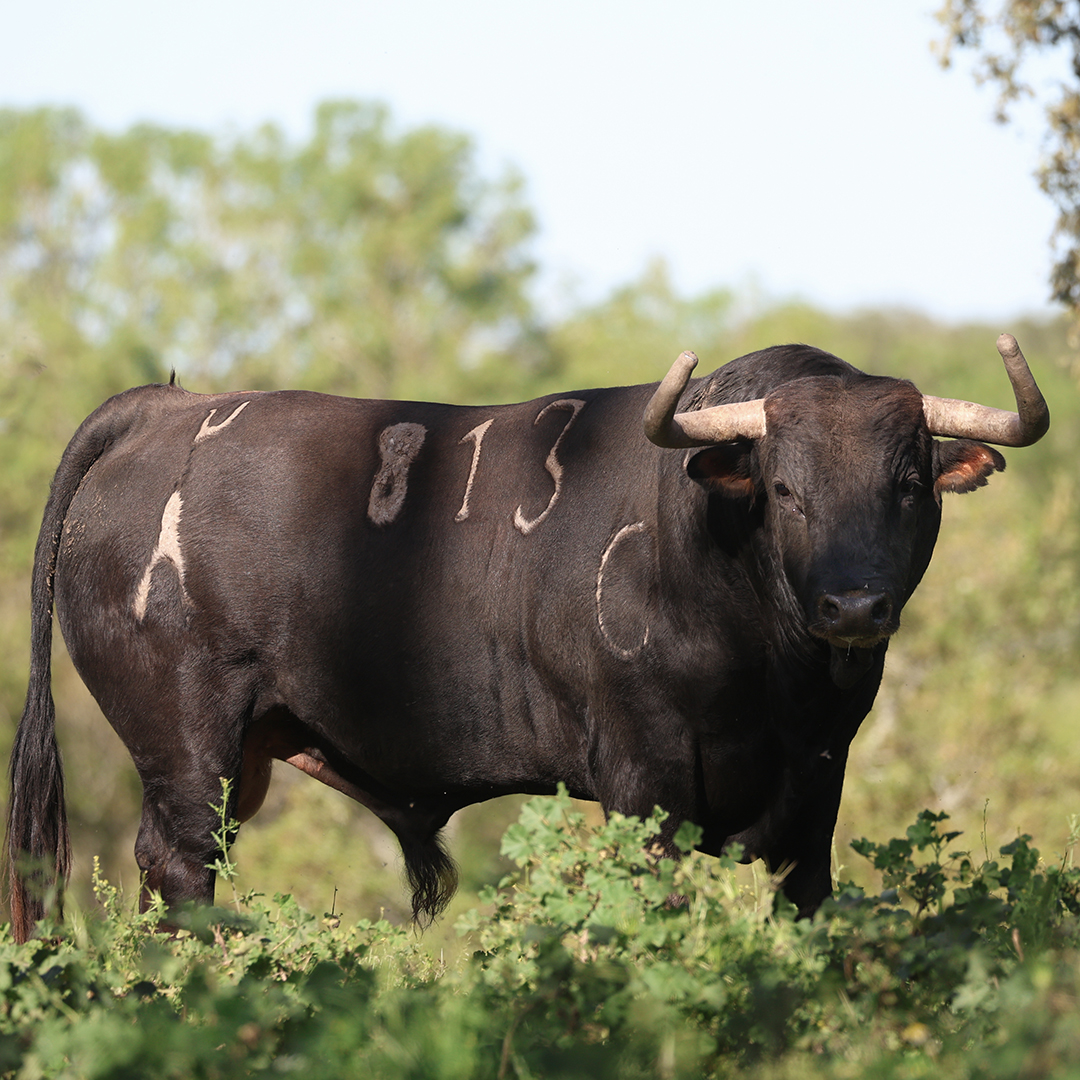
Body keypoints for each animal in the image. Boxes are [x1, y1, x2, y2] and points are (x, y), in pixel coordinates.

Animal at [0, 334, 1045, 937]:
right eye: (785, 487)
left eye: (907, 483)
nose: (856, 608)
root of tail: (172, 407)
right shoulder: (644, 785)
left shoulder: (818, 788)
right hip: (187, 747)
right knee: (180, 869)